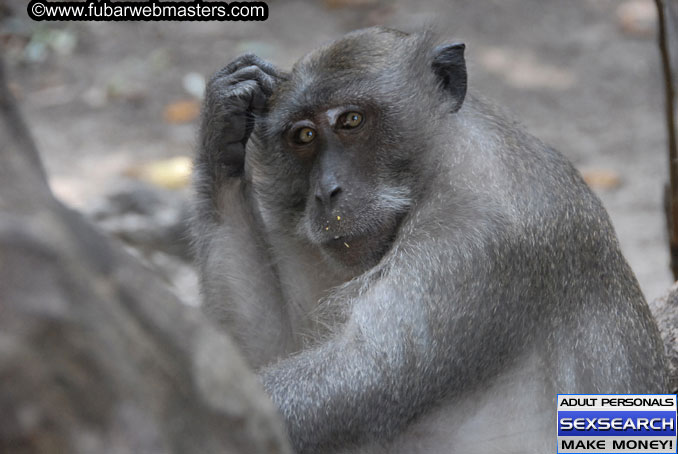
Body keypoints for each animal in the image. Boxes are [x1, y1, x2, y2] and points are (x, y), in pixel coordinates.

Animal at [191, 27, 668, 454]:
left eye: (351, 121)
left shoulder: (474, 243)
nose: (326, 192)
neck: (438, 168)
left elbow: (355, 381)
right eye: (303, 136)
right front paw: (224, 125)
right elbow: (259, 355)